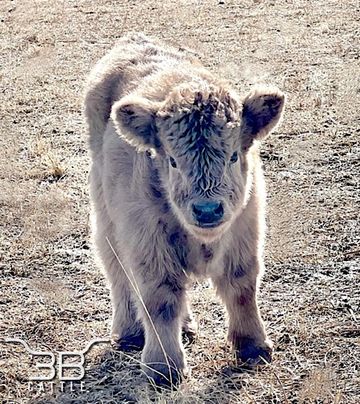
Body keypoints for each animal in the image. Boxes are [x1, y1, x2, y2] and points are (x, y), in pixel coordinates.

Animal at [83, 33, 284, 386]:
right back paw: (129, 332)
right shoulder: (147, 242)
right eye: (174, 161)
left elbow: (242, 285)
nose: (207, 210)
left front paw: (253, 346)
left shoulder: (246, 229)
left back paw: (187, 325)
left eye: (233, 156)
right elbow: (160, 298)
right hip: (106, 215)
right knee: (116, 269)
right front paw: (163, 367)